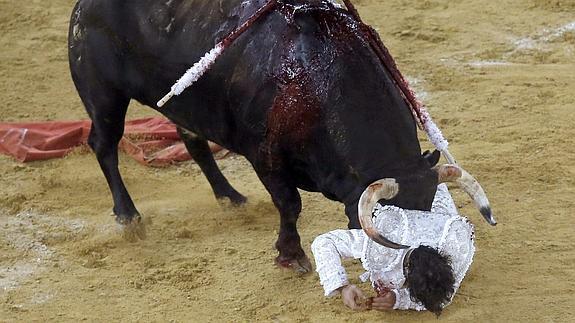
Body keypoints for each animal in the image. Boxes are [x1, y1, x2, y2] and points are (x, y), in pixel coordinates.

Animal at [67, 0, 488, 274]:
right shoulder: (266, 158)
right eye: (387, 228)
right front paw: (291, 255)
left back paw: (230, 197)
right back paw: (129, 217)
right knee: (104, 145)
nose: (419, 271)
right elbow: (290, 205)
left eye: (427, 212)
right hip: (103, 95)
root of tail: (85, 4)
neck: (317, 82)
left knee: (193, 141)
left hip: (184, 106)